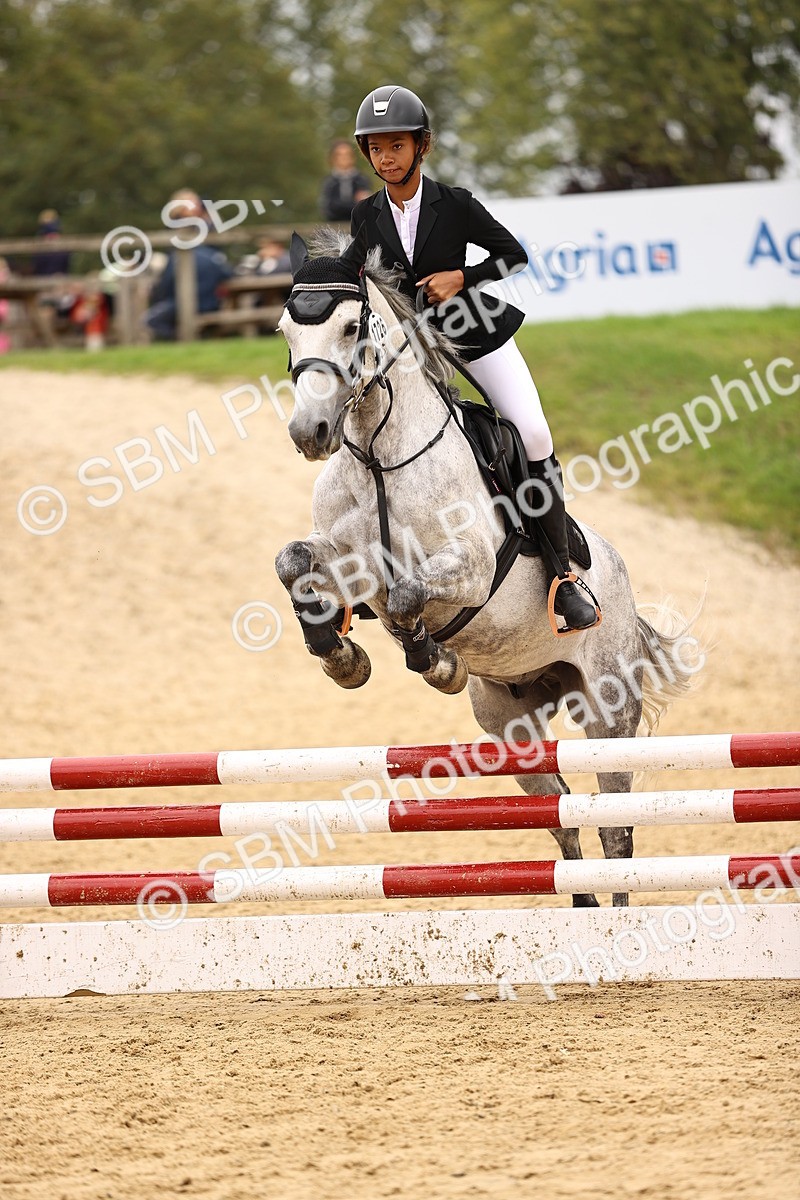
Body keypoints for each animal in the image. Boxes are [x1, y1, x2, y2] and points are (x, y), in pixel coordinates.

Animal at [275, 226, 695, 906]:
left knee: (616, 824)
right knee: (561, 815)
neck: (380, 453)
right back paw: (579, 904)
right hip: (511, 723)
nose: (309, 433)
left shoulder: (468, 571)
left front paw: (437, 663)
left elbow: (407, 595)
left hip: (609, 707)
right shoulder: (346, 561)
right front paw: (341, 655)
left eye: (349, 327)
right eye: (286, 329)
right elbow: (294, 563)